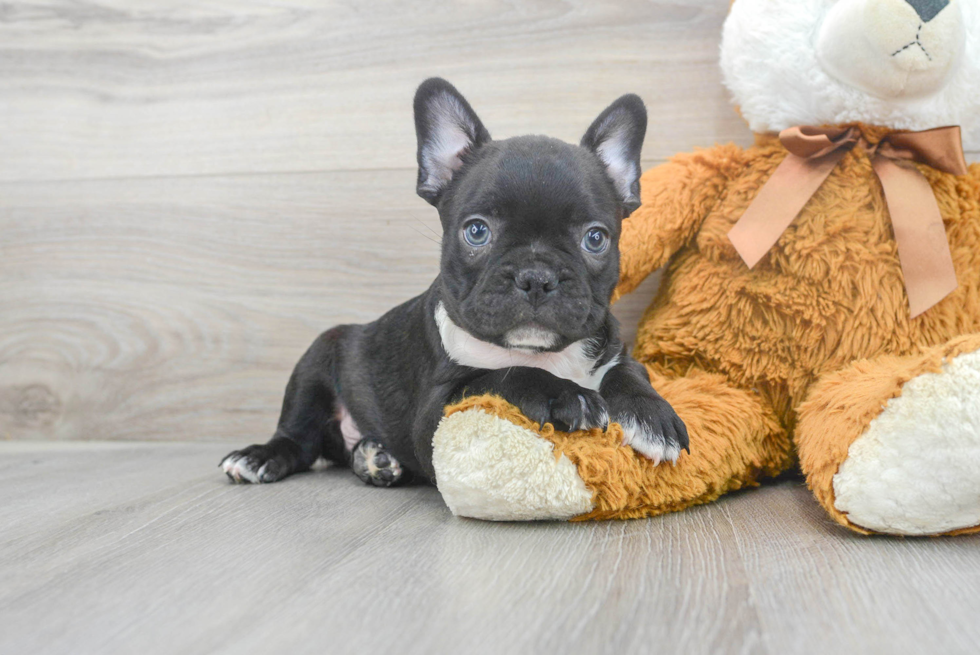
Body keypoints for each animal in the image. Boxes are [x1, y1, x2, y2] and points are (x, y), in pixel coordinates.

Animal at [220, 78, 688, 486]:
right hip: (317, 359)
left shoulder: (613, 351)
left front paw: (653, 416)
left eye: (595, 238)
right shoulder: (438, 408)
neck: (543, 354)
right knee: (298, 439)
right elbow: (501, 376)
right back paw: (261, 456)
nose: (537, 277)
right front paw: (564, 396)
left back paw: (375, 458)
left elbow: (629, 374)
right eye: (476, 231)